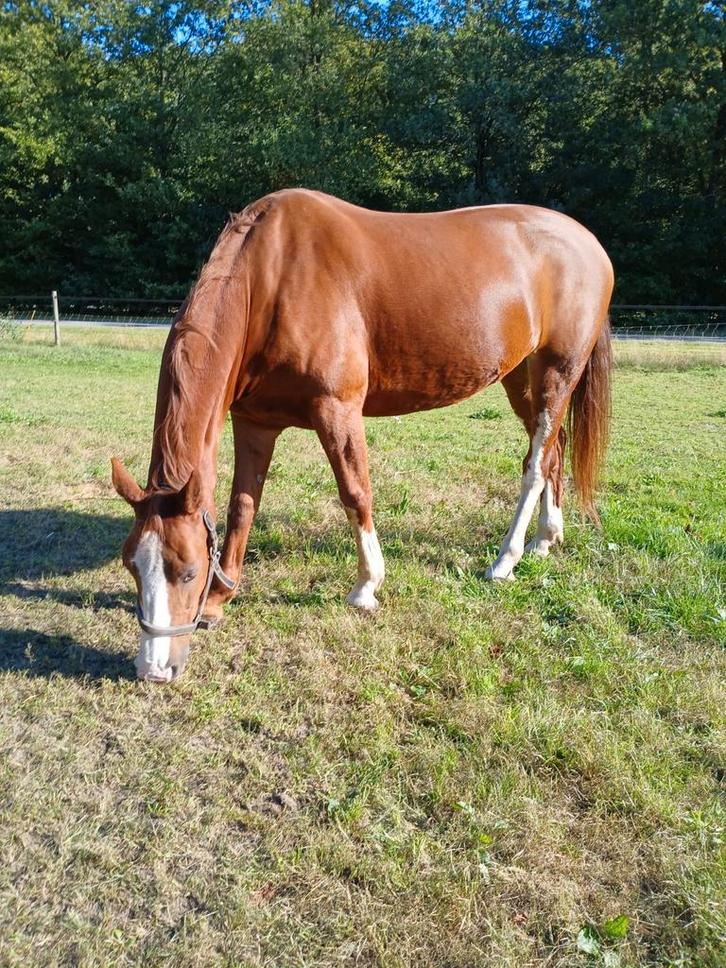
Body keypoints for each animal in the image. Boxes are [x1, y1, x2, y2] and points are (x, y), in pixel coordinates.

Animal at [112, 189, 613, 683]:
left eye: (188, 571)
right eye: (132, 566)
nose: (154, 669)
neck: (270, 281)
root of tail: (589, 243)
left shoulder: (338, 410)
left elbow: (355, 493)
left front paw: (366, 586)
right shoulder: (255, 422)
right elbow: (242, 506)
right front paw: (221, 598)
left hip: (556, 372)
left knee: (535, 464)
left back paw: (505, 561)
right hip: (519, 378)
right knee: (553, 453)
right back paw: (546, 539)